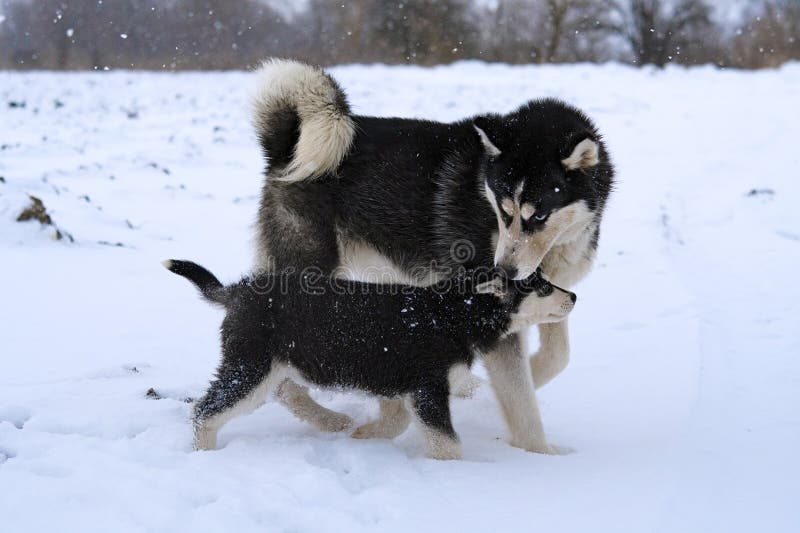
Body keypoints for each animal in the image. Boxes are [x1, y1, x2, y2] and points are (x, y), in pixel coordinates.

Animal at [164, 260, 576, 460]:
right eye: (541, 287)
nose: (573, 296)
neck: (451, 312)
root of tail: (237, 291)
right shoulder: (429, 390)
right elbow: (448, 443)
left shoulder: (400, 388)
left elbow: (394, 423)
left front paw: (364, 435)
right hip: (251, 368)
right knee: (205, 411)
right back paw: (204, 455)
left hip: (273, 367)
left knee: (282, 394)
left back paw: (334, 421)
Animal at [253, 59, 616, 454]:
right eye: (504, 211)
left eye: (538, 216)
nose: (504, 270)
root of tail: (286, 147)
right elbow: (520, 398)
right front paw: (539, 453)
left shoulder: (549, 294)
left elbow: (556, 357)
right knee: (280, 379)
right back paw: (330, 419)